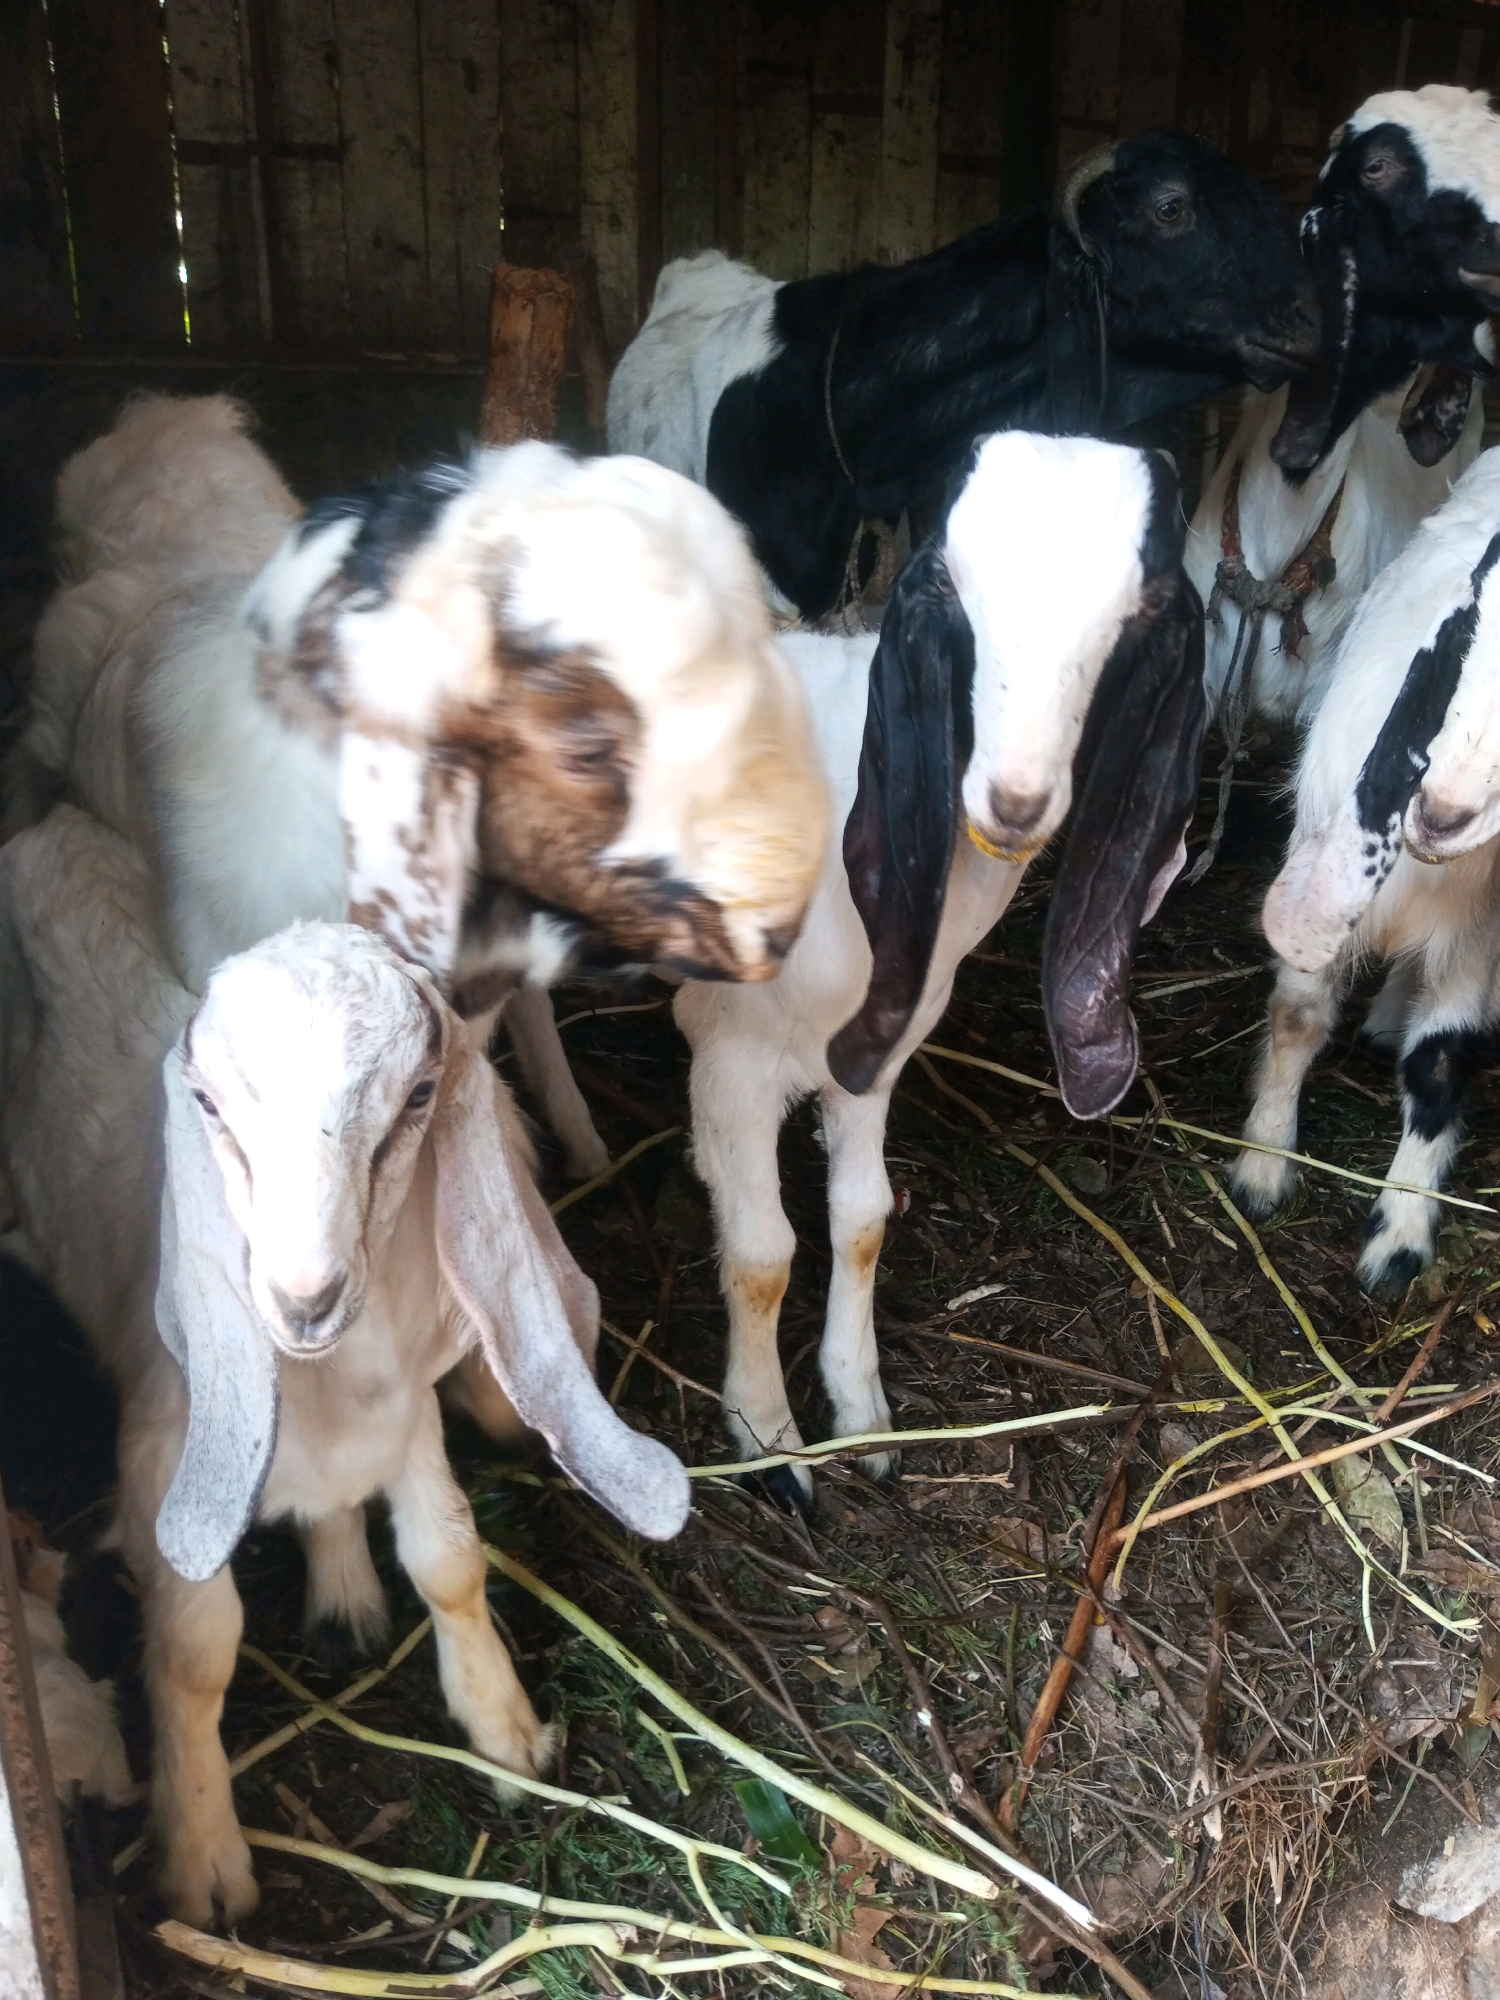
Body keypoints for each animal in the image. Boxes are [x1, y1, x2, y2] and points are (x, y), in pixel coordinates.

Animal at [0, 805, 691, 1925]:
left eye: (418, 1095)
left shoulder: (404, 1413)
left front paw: (503, 1725)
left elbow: (450, 1559)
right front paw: (203, 1861)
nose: (305, 1297)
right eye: (206, 1101)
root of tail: (56, 825)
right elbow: (196, 1650)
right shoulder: (167, 1454)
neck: (328, 1385)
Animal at [674, 432, 1206, 1503]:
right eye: (952, 587)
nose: (1015, 800)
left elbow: (863, 1219)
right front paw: (769, 1440)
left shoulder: (873, 1050)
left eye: (1142, 612)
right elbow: (762, 1253)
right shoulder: (734, 1054)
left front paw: (863, 1415)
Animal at [1228, 447, 1500, 1296]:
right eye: (1466, 624)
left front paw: (1400, 1235)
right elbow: (1297, 1016)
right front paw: (1261, 1167)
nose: (1442, 812)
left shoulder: (1476, 937)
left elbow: (1440, 1064)